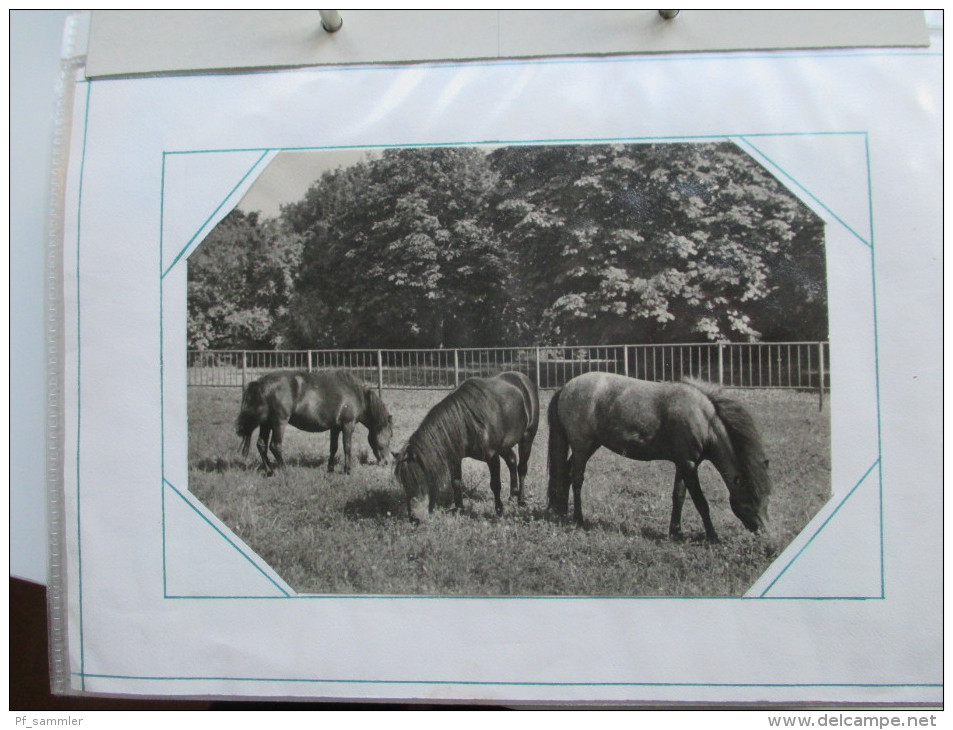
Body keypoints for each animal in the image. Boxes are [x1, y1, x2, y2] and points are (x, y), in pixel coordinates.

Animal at [236, 366, 392, 474]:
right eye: (390, 436)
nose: (386, 462)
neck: (354, 393)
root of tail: (260, 382)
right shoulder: (348, 425)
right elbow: (347, 447)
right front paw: (347, 470)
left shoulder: (335, 427)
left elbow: (333, 447)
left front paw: (330, 469)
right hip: (279, 422)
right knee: (275, 446)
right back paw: (285, 470)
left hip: (266, 423)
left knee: (261, 444)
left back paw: (270, 471)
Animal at [392, 372, 540, 520]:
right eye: (404, 483)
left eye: (419, 478)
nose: (414, 518)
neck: (466, 420)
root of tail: (522, 378)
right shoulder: (455, 456)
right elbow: (456, 482)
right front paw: (459, 508)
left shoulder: (492, 456)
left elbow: (495, 484)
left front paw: (499, 510)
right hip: (504, 446)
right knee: (512, 460)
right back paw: (512, 495)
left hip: (526, 438)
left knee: (522, 468)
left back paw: (521, 500)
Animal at [548, 372, 768, 536]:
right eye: (751, 498)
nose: (764, 531)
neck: (703, 419)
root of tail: (565, 387)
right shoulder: (689, 465)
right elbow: (701, 502)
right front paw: (712, 536)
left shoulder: (683, 464)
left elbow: (678, 496)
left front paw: (675, 532)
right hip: (582, 447)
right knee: (576, 478)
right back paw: (578, 518)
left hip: (589, 446)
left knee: (565, 474)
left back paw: (562, 512)